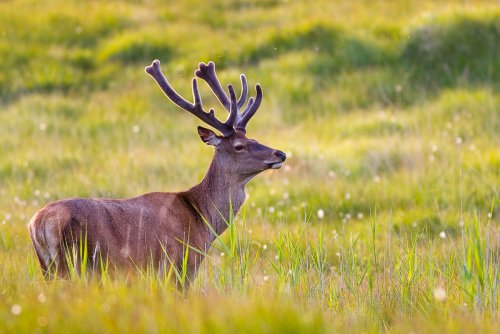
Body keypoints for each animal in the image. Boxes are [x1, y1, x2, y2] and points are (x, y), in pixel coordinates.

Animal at [27, 58, 286, 286]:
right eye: (239, 146)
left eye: (254, 139)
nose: (280, 154)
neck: (201, 219)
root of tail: (39, 223)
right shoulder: (179, 265)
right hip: (73, 261)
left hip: (47, 266)